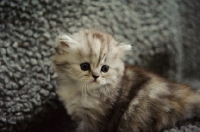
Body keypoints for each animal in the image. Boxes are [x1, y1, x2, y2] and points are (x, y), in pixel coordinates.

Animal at [52, 29, 200, 131]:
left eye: (105, 68)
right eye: (84, 66)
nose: (96, 76)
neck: (80, 90)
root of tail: (181, 92)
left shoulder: (95, 117)